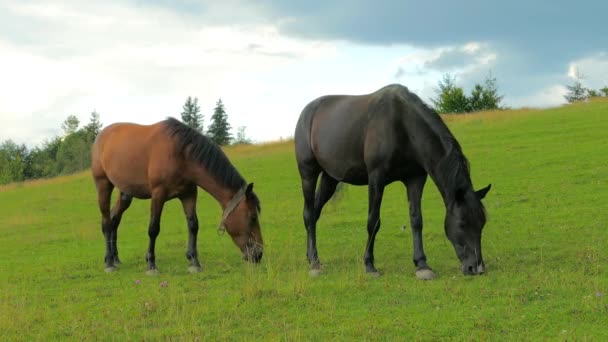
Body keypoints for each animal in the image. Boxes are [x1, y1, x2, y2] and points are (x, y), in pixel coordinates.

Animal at [91, 117, 262, 276]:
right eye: (252, 217)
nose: (259, 254)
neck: (180, 154)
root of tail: (101, 135)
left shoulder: (189, 194)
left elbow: (193, 225)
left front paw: (194, 262)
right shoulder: (158, 194)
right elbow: (153, 228)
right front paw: (151, 264)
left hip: (125, 193)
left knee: (114, 219)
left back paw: (115, 258)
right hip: (103, 184)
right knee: (106, 222)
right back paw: (109, 263)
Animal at [296, 84, 492, 280]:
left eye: (482, 223)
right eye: (462, 224)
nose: (477, 268)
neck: (402, 125)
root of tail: (307, 112)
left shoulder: (415, 179)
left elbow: (416, 220)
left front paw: (422, 264)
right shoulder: (376, 178)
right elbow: (373, 221)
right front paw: (369, 265)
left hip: (330, 179)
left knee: (315, 213)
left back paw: (310, 256)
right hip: (308, 174)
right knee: (308, 213)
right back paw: (315, 263)